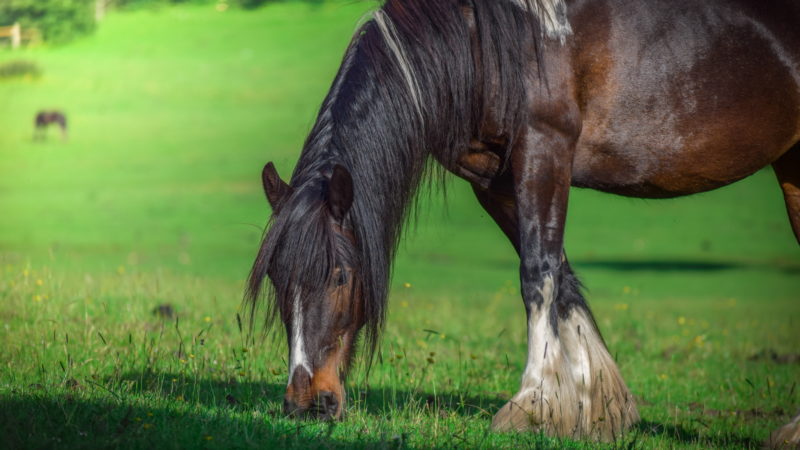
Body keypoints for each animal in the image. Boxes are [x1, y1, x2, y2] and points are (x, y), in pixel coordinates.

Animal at [245, 0, 800, 442]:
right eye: (276, 277)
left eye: (340, 276)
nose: (306, 402)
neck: (487, 37)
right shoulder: (494, 180)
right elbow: (561, 274)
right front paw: (595, 408)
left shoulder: (544, 148)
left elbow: (537, 274)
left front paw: (532, 404)